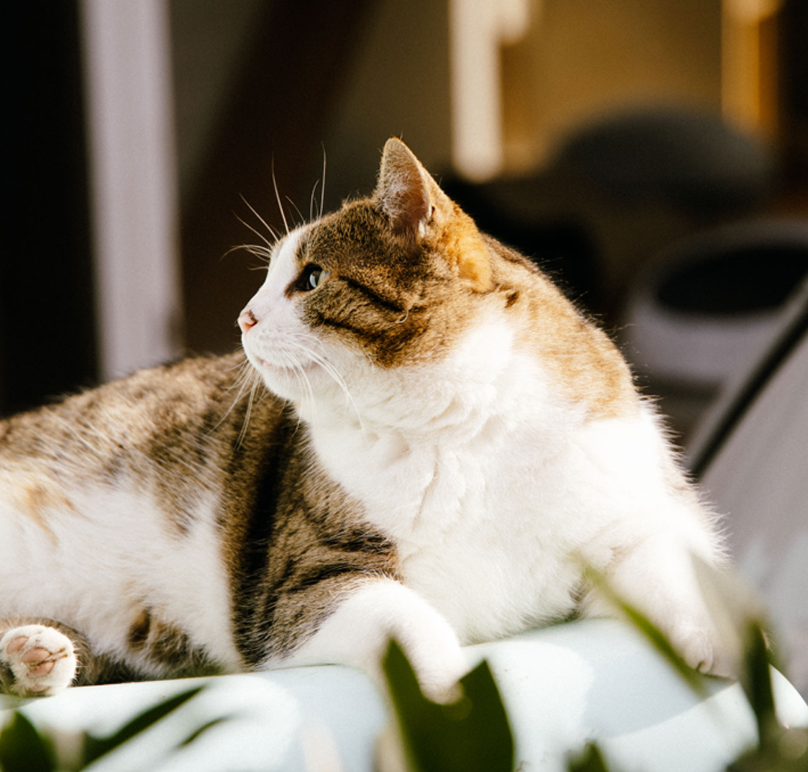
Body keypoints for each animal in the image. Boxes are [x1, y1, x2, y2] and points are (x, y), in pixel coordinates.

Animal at [0, 139, 728, 700]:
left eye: (312, 278)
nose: (244, 317)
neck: (465, 432)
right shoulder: (300, 585)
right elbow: (406, 621)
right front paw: (455, 689)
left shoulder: (633, 513)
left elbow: (677, 571)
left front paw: (723, 640)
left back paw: (34, 654)